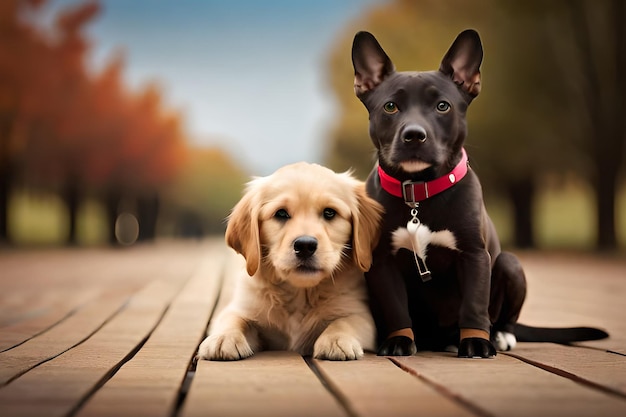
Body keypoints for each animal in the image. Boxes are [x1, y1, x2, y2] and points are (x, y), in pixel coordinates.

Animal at [197, 161, 382, 360]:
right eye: (281, 214)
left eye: (329, 213)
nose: (305, 245)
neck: (300, 294)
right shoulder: (243, 307)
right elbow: (234, 318)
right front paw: (224, 338)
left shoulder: (363, 316)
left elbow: (346, 321)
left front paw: (336, 339)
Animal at [348, 29, 608, 356]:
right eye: (390, 107)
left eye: (443, 106)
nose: (414, 135)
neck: (418, 192)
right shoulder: (383, 262)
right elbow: (396, 308)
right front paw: (399, 339)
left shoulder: (474, 255)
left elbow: (474, 304)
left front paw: (476, 341)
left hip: (510, 264)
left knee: (503, 315)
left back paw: (499, 335)